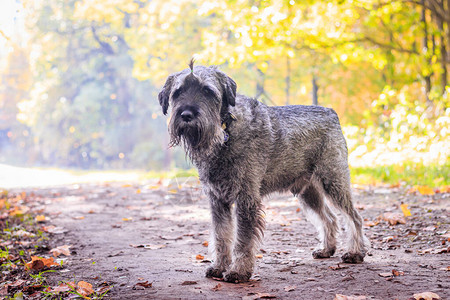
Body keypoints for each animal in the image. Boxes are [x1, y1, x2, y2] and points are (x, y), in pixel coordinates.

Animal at [159, 59, 370, 282]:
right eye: (178, 92)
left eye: (207, 91)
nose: (186, 114)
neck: (225, 131)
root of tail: (332, 113)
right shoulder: (218, 200)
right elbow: (221, 236)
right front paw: (218, 267)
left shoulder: (246, 198)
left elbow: (243, 240)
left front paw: (238, 271)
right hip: (308, 192)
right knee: (329, 218)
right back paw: (326, 249)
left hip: (333, 181)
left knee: (354, 217)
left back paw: (355, 253)